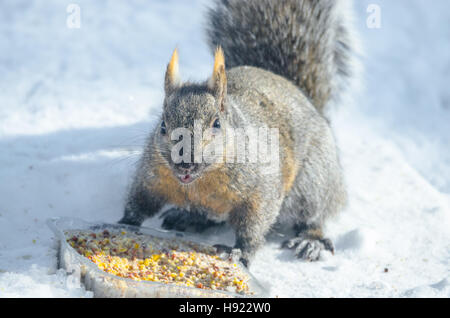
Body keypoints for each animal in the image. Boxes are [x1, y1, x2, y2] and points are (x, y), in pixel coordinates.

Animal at [118, 0, 356, 266]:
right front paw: (125, 223)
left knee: (313, 215)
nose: (185, 163)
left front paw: (240, 251)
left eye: (216, 124)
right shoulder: (152, 177)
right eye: (162, 125)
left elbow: (254, 224)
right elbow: (140, 202)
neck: (200, 183)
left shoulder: (261, 190)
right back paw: (187, 217)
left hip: (313, 182)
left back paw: (309, 240)